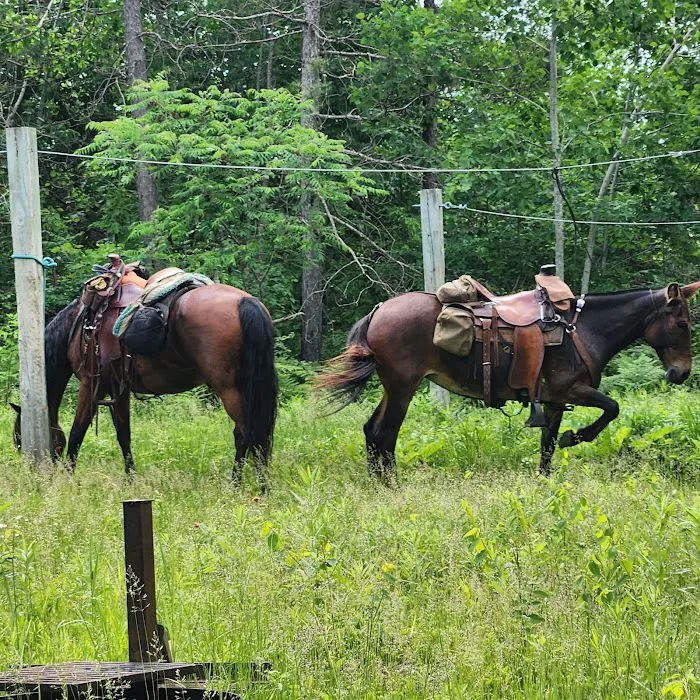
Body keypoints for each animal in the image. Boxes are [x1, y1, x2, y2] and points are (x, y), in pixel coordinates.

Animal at [12, 270, 278, 490]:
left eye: (19, 438)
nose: (31, 471)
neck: (80, 325)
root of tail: (245, 301)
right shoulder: (118, 389)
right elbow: (123, 434)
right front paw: (131, 480)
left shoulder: (90, 384)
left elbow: (78, 431)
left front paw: (67, 478)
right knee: (253, 434)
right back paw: (253, 485)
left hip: (229, 388)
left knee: (246, 432)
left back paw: (245, 486)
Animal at [317, 281, 700, 480]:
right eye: (682, 323)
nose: (682, 373)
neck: (582, 330)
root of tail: (378, 310)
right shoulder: (573, 390)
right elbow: (612, 408)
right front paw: (576, 437)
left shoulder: (554, 401)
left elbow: (547, 447)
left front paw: (546, 483)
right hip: (402, 388)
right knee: (385, 435)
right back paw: (391, 486)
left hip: (393, 387)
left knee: (372, 431)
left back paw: (378, 483)